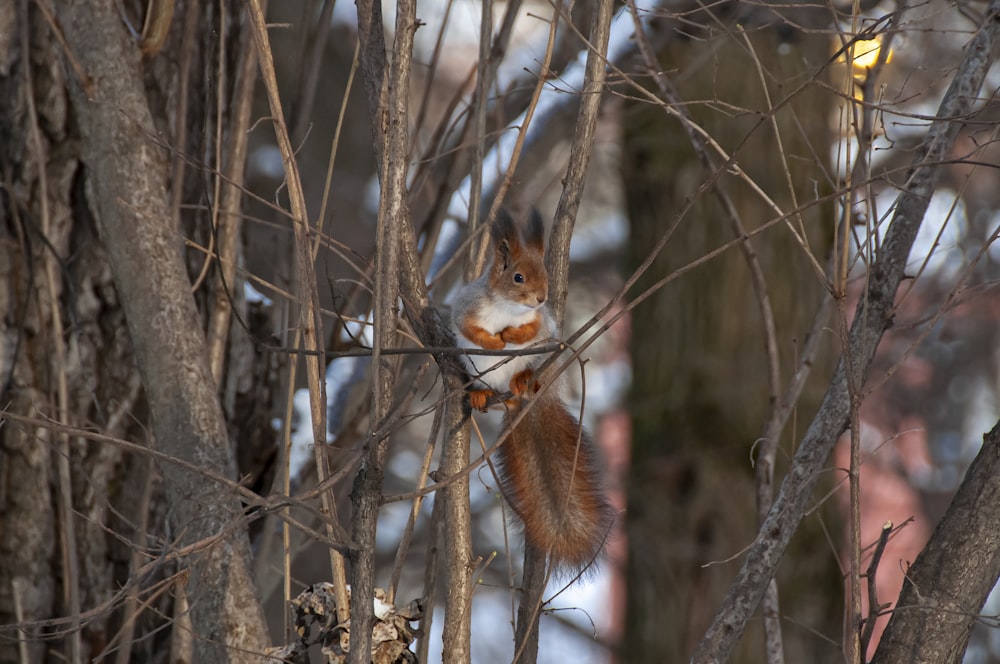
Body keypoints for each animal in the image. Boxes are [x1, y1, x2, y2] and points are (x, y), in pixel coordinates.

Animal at [452, 210, 608, 572]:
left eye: (545, 275)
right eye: (518, 277)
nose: (541, 298)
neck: (508, 308)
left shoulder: (543, 323)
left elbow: (534, 329)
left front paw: (511, 335)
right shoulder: (466, 308)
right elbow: (469, 328)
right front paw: (493, 341)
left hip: (543, 364)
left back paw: (523, 380)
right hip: (476, 372)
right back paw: (481, 395)